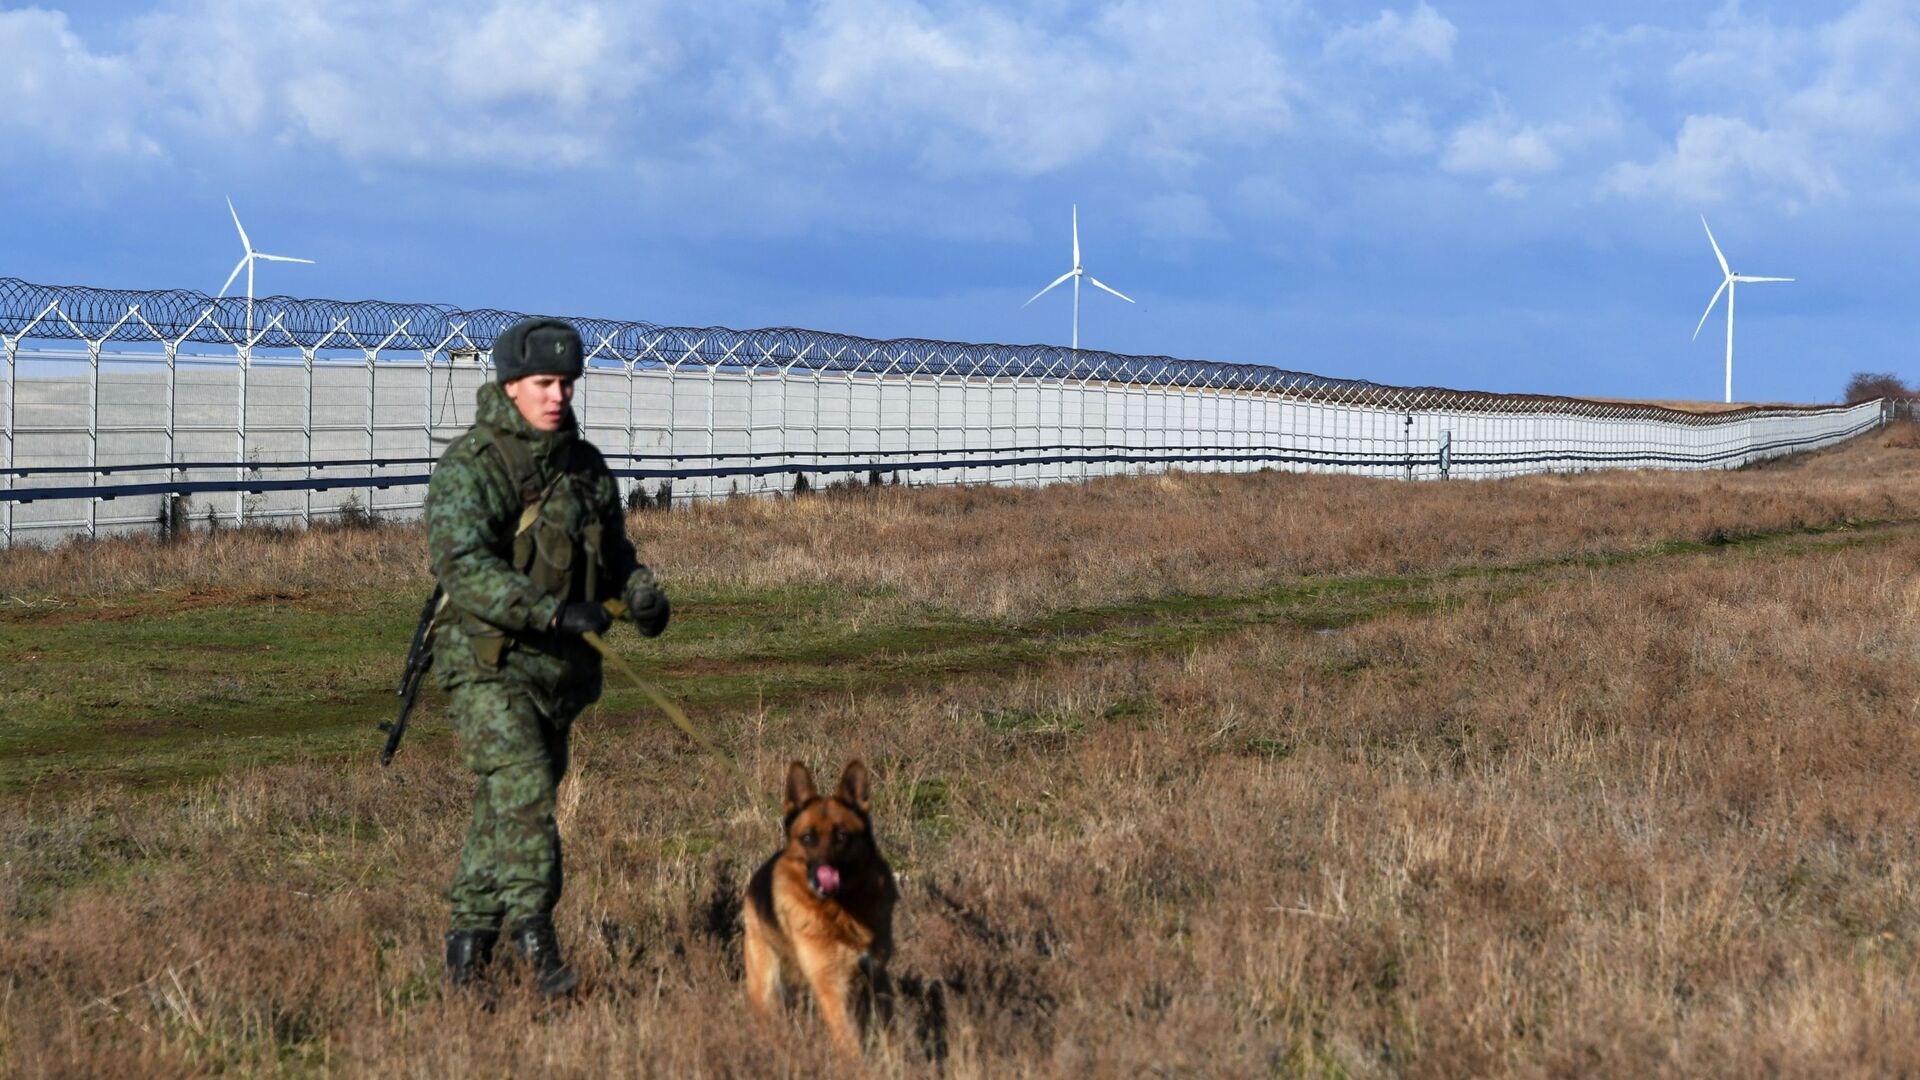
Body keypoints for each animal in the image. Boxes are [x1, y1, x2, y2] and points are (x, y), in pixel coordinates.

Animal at [744, 757, 902, 1053]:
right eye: (807, 838)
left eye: (842, 836)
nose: (825, 872)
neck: (841, 913)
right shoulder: (831, 986)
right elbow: (849, 1042)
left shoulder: (876, 976)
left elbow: (888, 1034)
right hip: (767, 986)